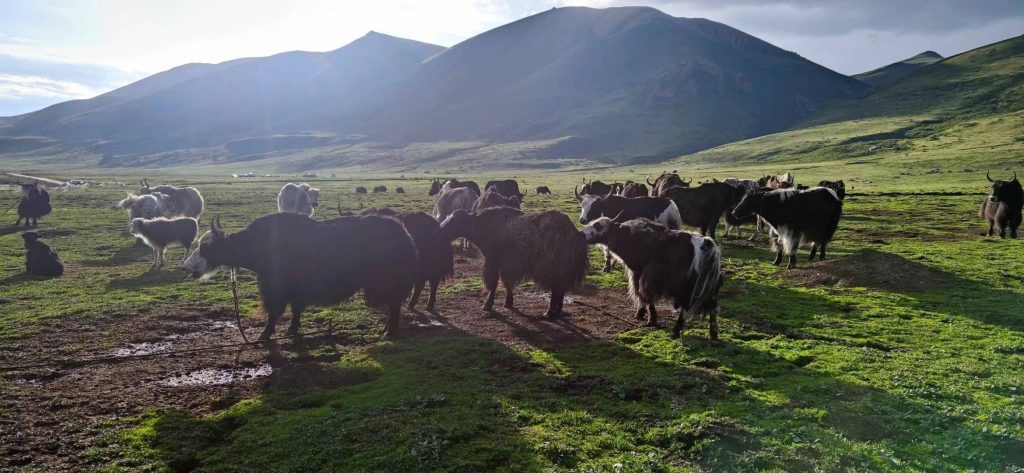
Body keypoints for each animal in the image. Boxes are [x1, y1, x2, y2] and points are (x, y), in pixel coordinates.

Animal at [585, 216, 720, 337]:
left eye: (598, 226)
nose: (582, 234)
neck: (627, 235)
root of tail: (708, 245)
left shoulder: (640, 273)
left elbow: (642, 294)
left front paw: (648, 318)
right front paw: (643, 314)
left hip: (687, 287)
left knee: (686, 307)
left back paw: (676, 331)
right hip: (708, 288)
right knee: (713, 306)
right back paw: (713, 334)